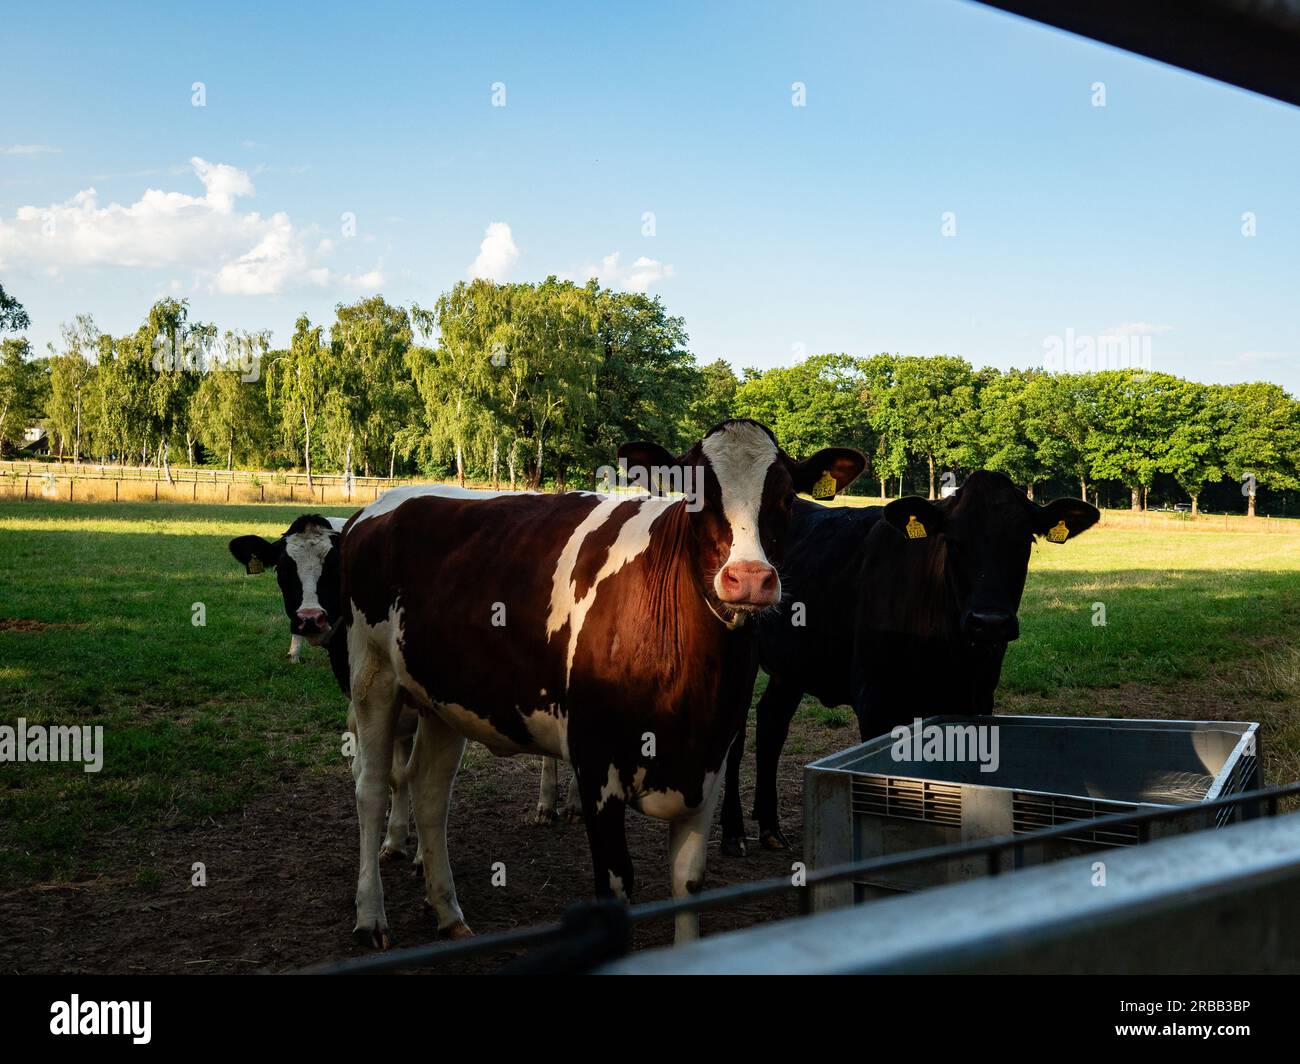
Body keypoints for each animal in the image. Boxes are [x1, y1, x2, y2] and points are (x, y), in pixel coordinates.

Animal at [340, 418, 863, 941]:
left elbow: (689, 881)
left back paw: (448, 913)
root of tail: (384, 504)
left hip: (441, 699)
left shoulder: (709, 766)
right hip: (372, 675)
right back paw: (370, 916)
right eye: (694, 495)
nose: (750, 577)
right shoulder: (595, 763)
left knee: (431, 793)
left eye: (787, 498)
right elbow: (615, 885)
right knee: (370, 788)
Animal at [717, 468, 1102, 848]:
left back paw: (769, 827)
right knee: (735, 736)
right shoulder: (875, 699)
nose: (989, 621)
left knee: (771, 723)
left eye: (1025, 542)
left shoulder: (977, 700)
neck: (952, 656)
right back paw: (734, 831)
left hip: (792, 665)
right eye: (953, 541)